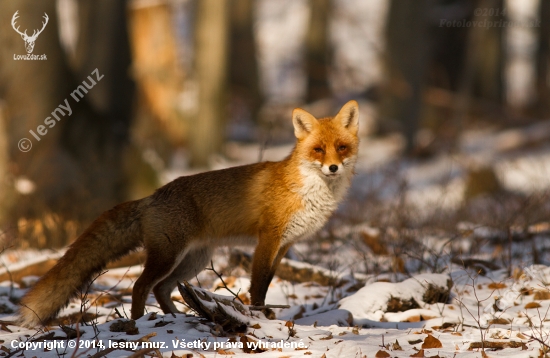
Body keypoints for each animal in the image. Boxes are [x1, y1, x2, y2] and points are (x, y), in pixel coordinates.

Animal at [17, 100, 360, 328]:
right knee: (140, 286)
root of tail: (151, 197)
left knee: (161, 289)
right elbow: (257, 287)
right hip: (169, 256)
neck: (309, 191)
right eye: (318, 149)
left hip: (192, 261)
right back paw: (139, 323)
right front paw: (260, 318)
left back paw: (176, 318)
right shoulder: (268, 239)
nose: (333, 167)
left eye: (342, 147)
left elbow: (266, 282)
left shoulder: (285, 245)